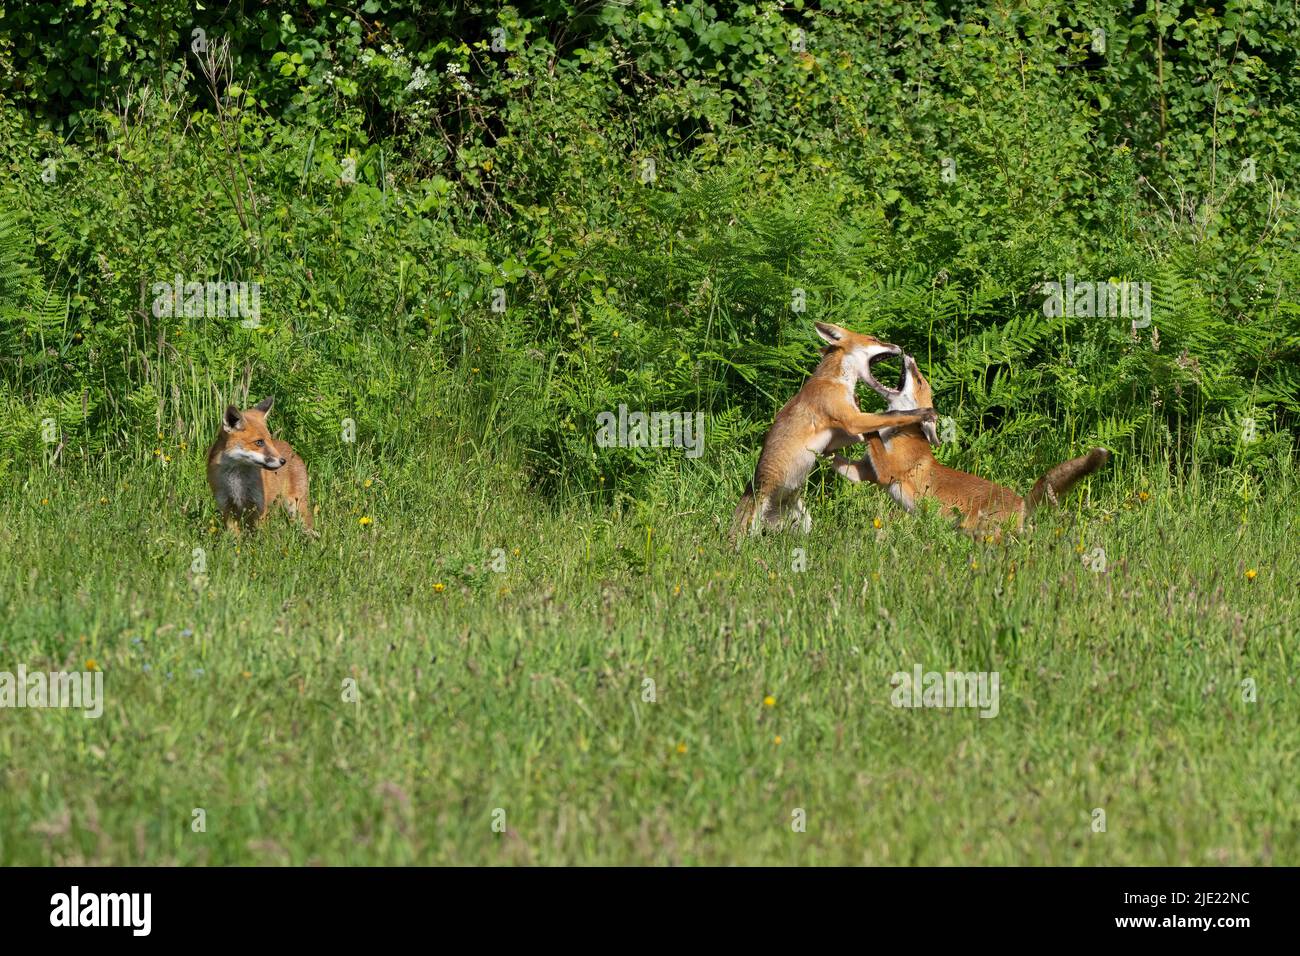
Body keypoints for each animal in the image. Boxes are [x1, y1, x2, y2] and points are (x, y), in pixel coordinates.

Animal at [206, 396, 314, 535]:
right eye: (259, 442)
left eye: (269, 440)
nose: (282, 461)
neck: (237, 483)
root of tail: (291, 448)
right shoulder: (227, 508)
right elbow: (234, 537)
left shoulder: (259, 507)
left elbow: (260, 537)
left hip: (296, 507)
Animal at [730, 322, 938, 538]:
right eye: (873, 339)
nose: (900, 347)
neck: (836, 381)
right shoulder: (852, 420)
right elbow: (895, 414)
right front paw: (924, 414)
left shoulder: (840, 432)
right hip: (748, 529)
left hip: (804, 521)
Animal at [831, 353, 1109, 535]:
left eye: (919, 380)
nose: (908, 355)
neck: (898, 433)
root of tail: (1021, 502)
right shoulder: (869, 474)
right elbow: (843, 466)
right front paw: (825, 455)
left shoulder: (888, 472)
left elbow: (872, 436)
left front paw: (859, 410)